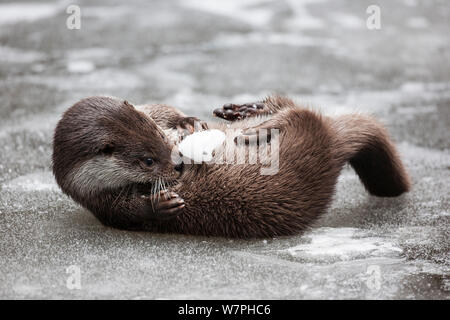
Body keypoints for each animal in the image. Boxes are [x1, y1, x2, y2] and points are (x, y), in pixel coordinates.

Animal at [53, 95, 412, 238]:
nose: (178, 164)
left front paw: (187, 122)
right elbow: (130, 213)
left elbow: (165, 109)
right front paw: (159, 204)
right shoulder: (105, 206)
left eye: (157, 134)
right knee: (304, 115)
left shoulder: (152, 110)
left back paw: (248, 112)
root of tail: (333, 142)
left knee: (295, 108)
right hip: (311, 143)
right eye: (147, 161)